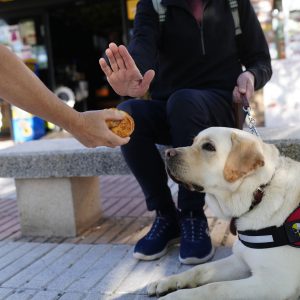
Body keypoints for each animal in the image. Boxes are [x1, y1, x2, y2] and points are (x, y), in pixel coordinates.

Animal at [148, 127, 300, 300]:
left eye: (208, 146)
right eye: (193, 142)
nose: (168, 153)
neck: (259, 192)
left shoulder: (275, 283)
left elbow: (214, 287)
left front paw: (175, 296)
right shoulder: (240, 260)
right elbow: (200, 269)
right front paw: (168, 281)